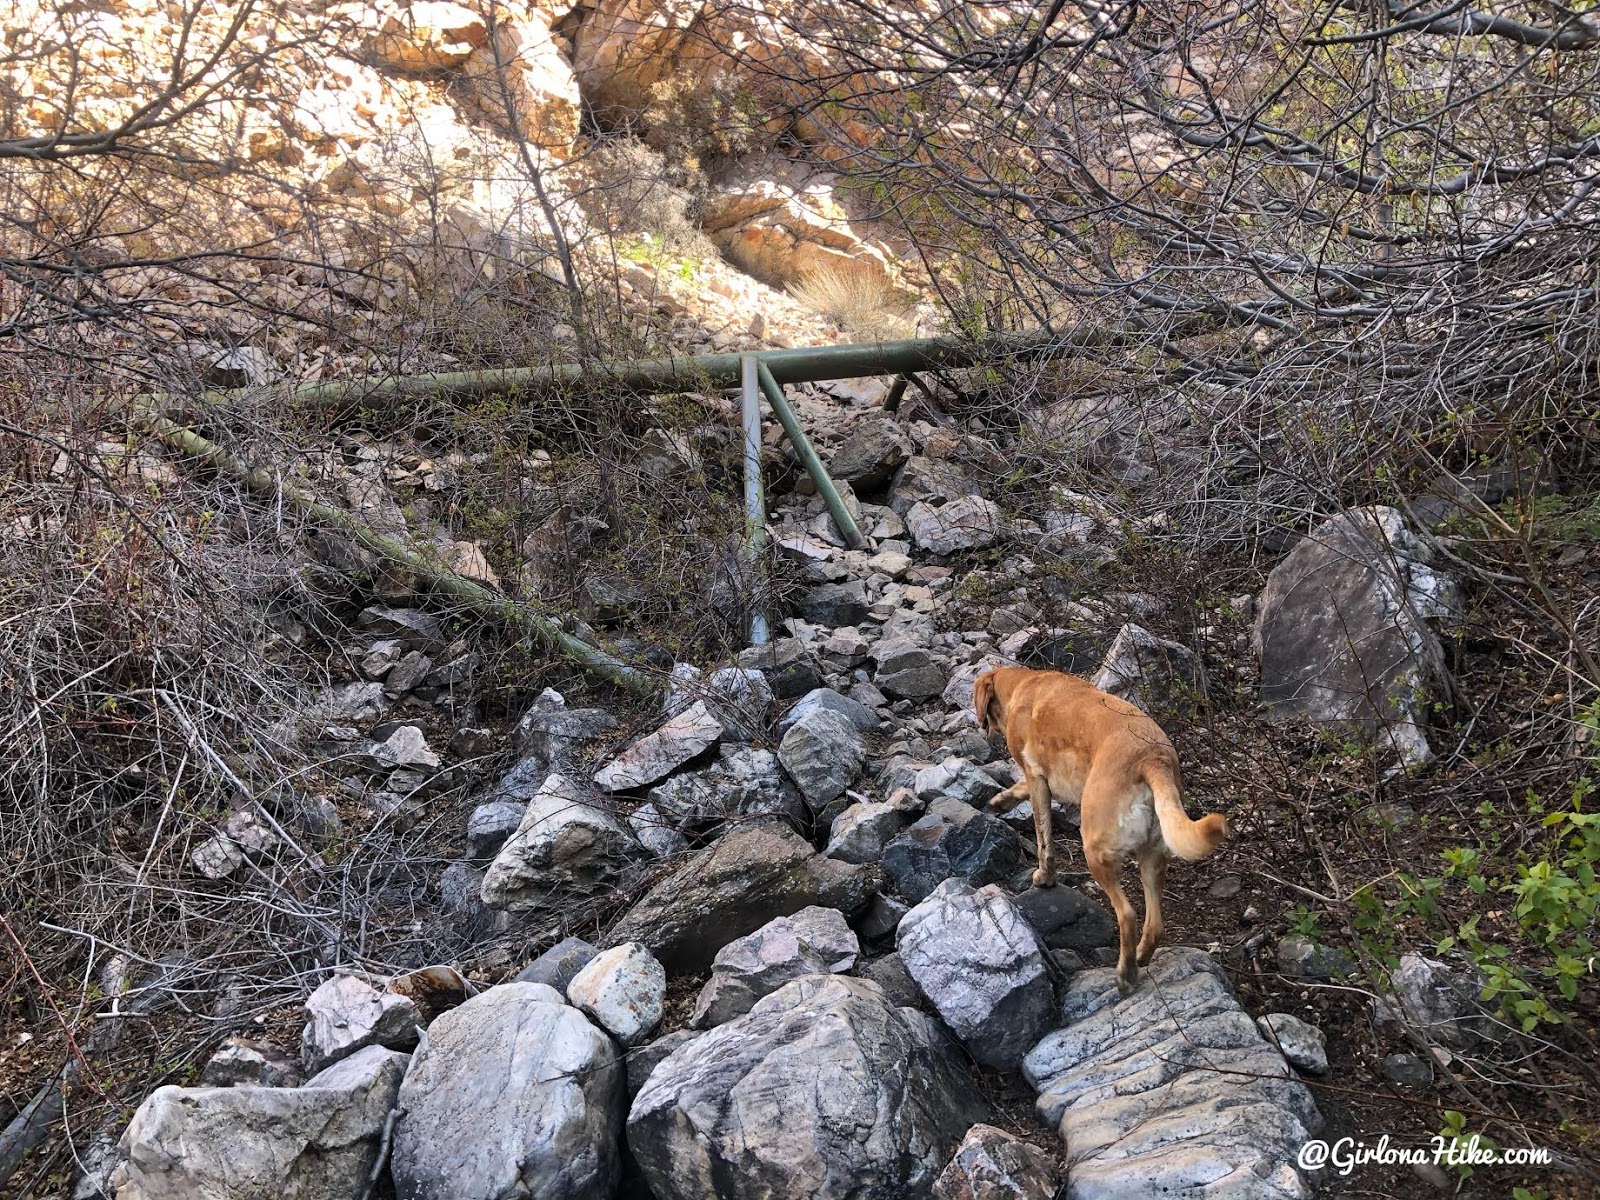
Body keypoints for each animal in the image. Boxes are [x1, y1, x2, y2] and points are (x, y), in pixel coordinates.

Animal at [972, 668, 1222, 998]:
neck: (1023, 683)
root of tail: (1152, 759)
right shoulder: (1037, 780)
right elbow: (1020, 791)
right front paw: (1001, 800)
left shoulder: (1037, 778)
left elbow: (1043, 837)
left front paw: (1045, 877)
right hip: (1153, 857)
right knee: (1155, 925)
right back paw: (1140, 956)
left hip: (1094, 848)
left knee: (1127, 914)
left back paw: (1126, 974)